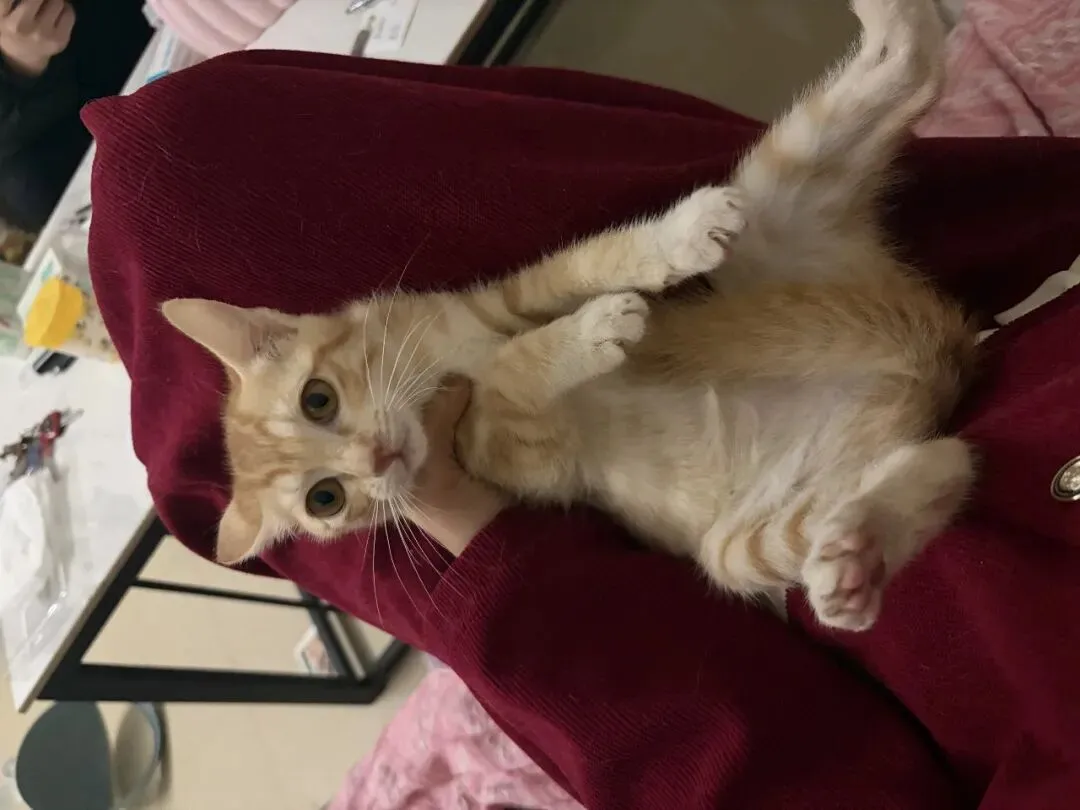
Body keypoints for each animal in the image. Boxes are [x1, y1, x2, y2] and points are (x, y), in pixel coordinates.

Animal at [163, 0, 975, 632]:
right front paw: (593, 332)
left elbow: (582, 266)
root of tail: (938, 349)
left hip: (775, 207)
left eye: (318, 399)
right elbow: (507, 382)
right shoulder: (522, 455)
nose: (378, 460)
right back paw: (857, 557)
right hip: (744, 540)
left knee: (910, 59)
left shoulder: (493, 301)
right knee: (949, 465)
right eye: (326, 500)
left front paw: (675, 239)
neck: (426, 381)